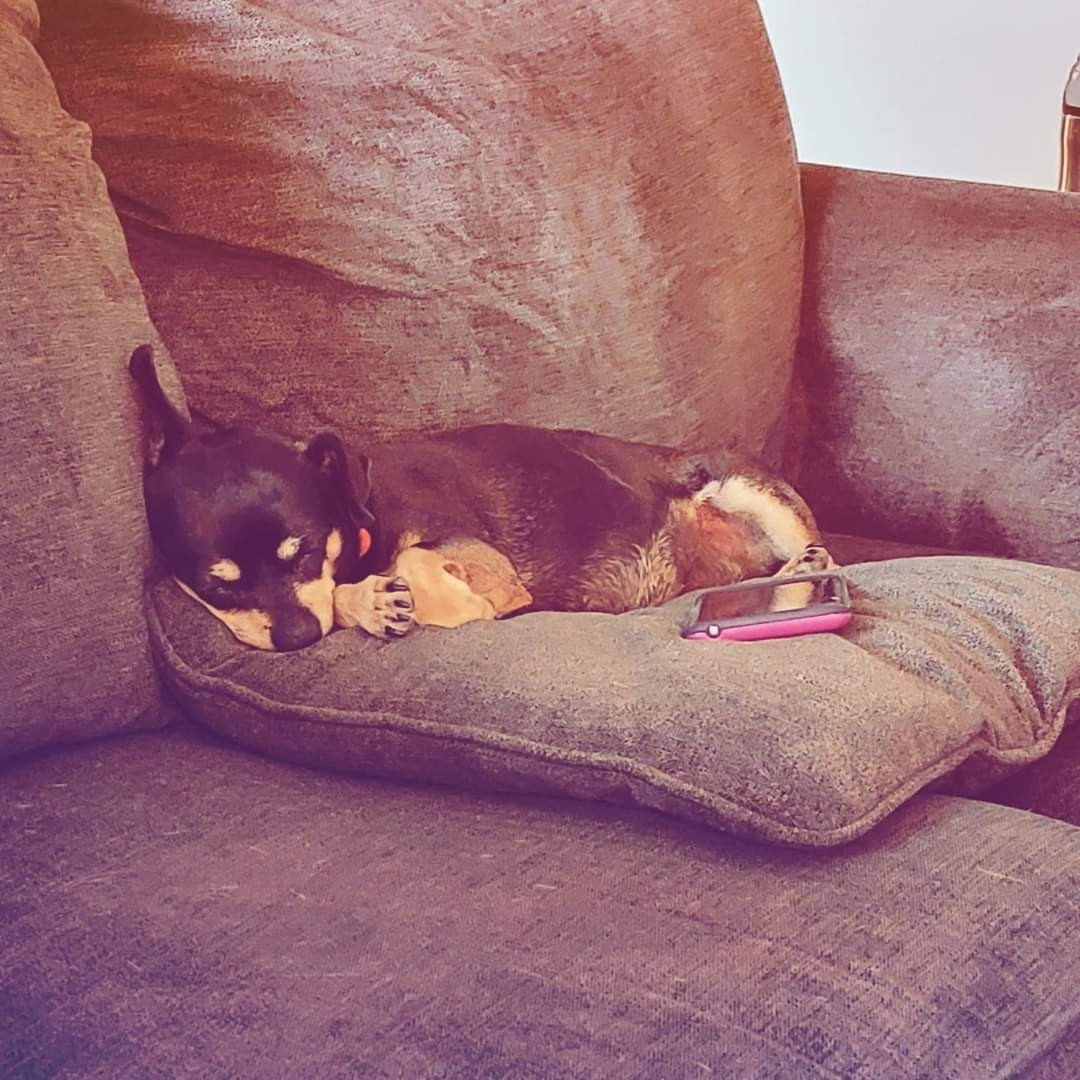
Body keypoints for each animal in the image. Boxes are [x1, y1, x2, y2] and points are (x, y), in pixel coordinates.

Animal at [128, 345, 833, 648]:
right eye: (217, 586)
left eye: (301, 554)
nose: (300, 640)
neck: (359, 509)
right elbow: (354, 593)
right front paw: (372, 604)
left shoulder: (476, 556)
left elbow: (420, 564)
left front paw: (451, 603)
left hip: (751, 490)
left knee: (814, 568)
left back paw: (804, 570)